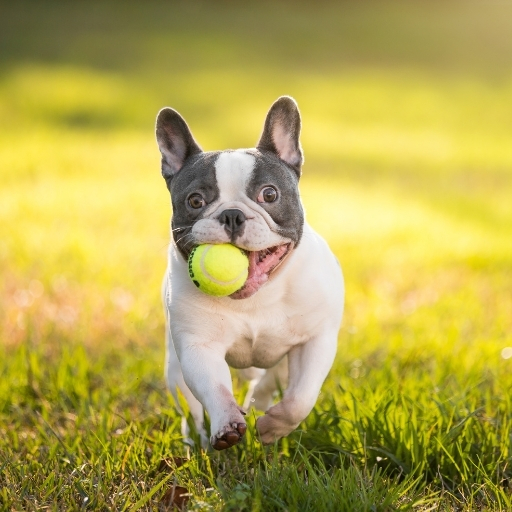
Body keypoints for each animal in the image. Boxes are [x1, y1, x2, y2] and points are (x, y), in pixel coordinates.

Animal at [156, 96, 344, 448]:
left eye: (269, 194)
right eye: (195, 201)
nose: (232, 214)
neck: (257, 296)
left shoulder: (315, 341)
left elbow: (300, 398)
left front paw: (272, 428)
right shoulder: (199, 347)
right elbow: (214, 389)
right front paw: (226, 425)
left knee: (270, 382)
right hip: (174, 368)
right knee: (190, 405)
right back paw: (196, 437)